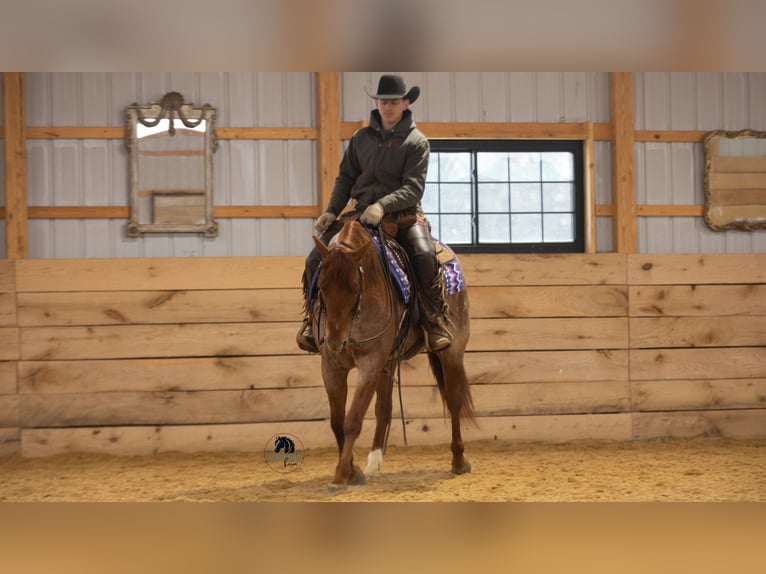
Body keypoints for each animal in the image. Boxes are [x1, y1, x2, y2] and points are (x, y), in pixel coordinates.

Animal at [309, 219, 475, 488]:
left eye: (354, 288)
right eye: (321, 286)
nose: (335, 340)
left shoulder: (370, 362)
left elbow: (353, 420)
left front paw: (342, 473)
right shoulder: (332, 365)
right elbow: (337, 422)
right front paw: (353, 470)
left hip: (453, 350)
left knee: (453, 400)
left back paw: (459, 461)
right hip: (388, 363)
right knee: (384, 408)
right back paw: (374, 463)